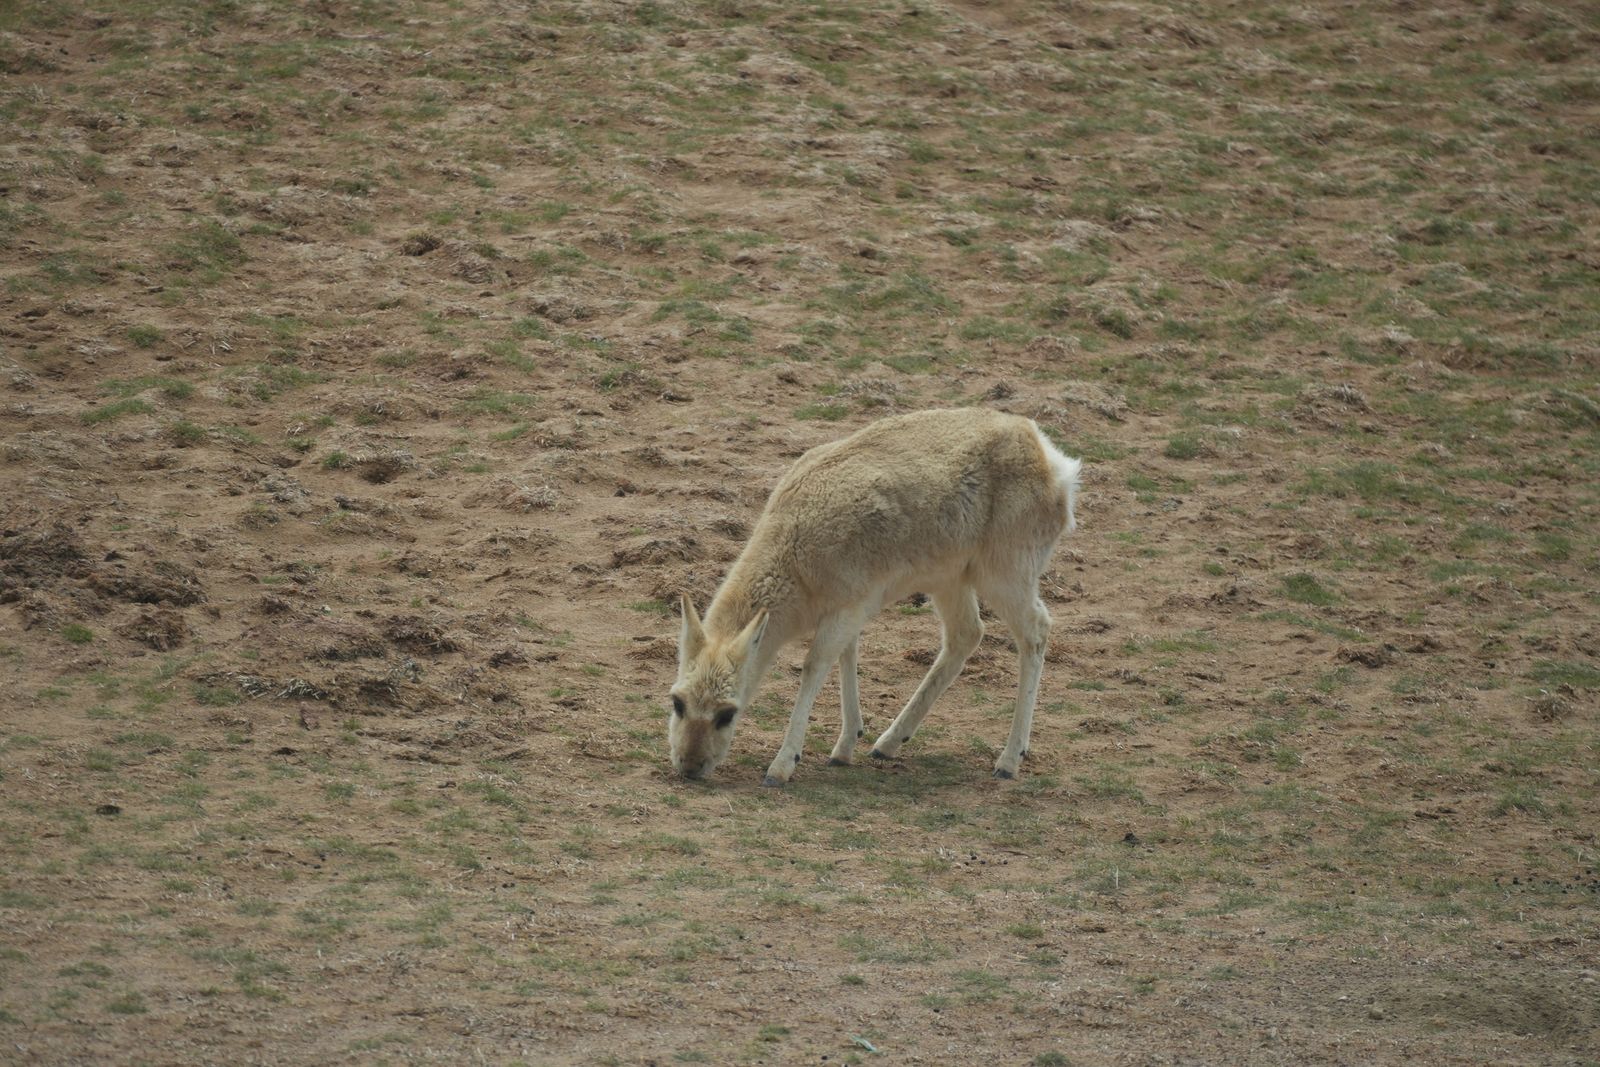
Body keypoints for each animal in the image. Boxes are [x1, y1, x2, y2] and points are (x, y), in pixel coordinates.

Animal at [669, 408, 1082, 785]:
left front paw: (782, 765)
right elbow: (847, 656)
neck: (796, 551)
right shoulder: (853, 608)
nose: (689, 767)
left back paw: (1009, 760)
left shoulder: (846, 608)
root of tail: (1051, 459)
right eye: (677, 701)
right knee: (966, 635)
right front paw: (845, 746)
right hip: (949, 580)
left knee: (1036, 630)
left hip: (1005, 576)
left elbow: (815, 665)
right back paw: (888, 743)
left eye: (727, 713)